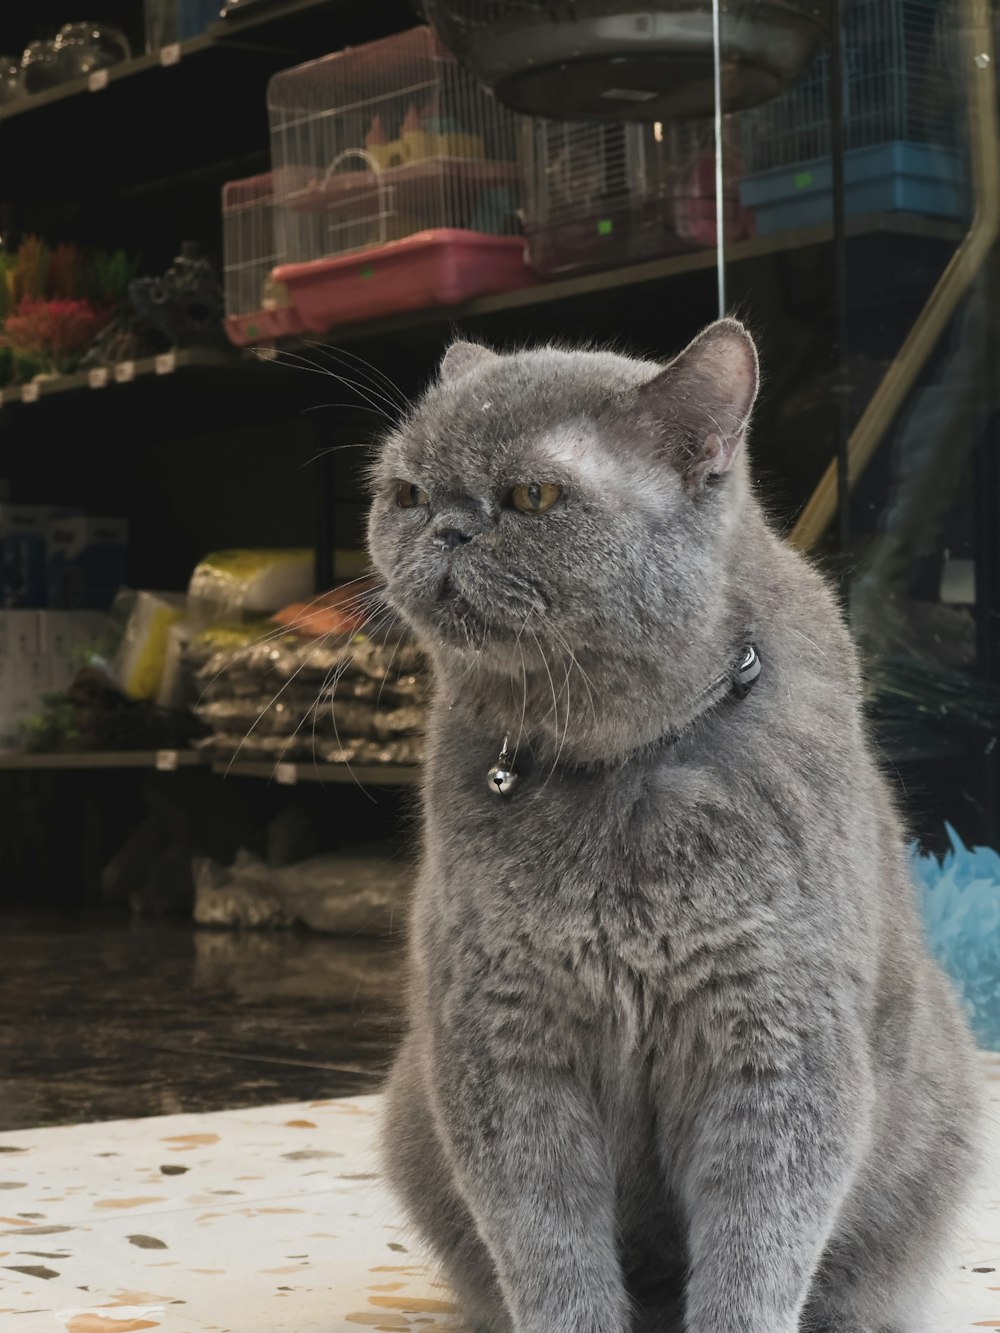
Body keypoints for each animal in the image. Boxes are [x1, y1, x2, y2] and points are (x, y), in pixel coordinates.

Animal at [368, 322, 981, 1333]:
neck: (619, 766)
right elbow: (547, 1245)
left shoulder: (778, 1044)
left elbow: (757, 1251)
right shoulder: (502, 1045)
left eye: (533, 496)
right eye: (406, 492)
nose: (444, 526)